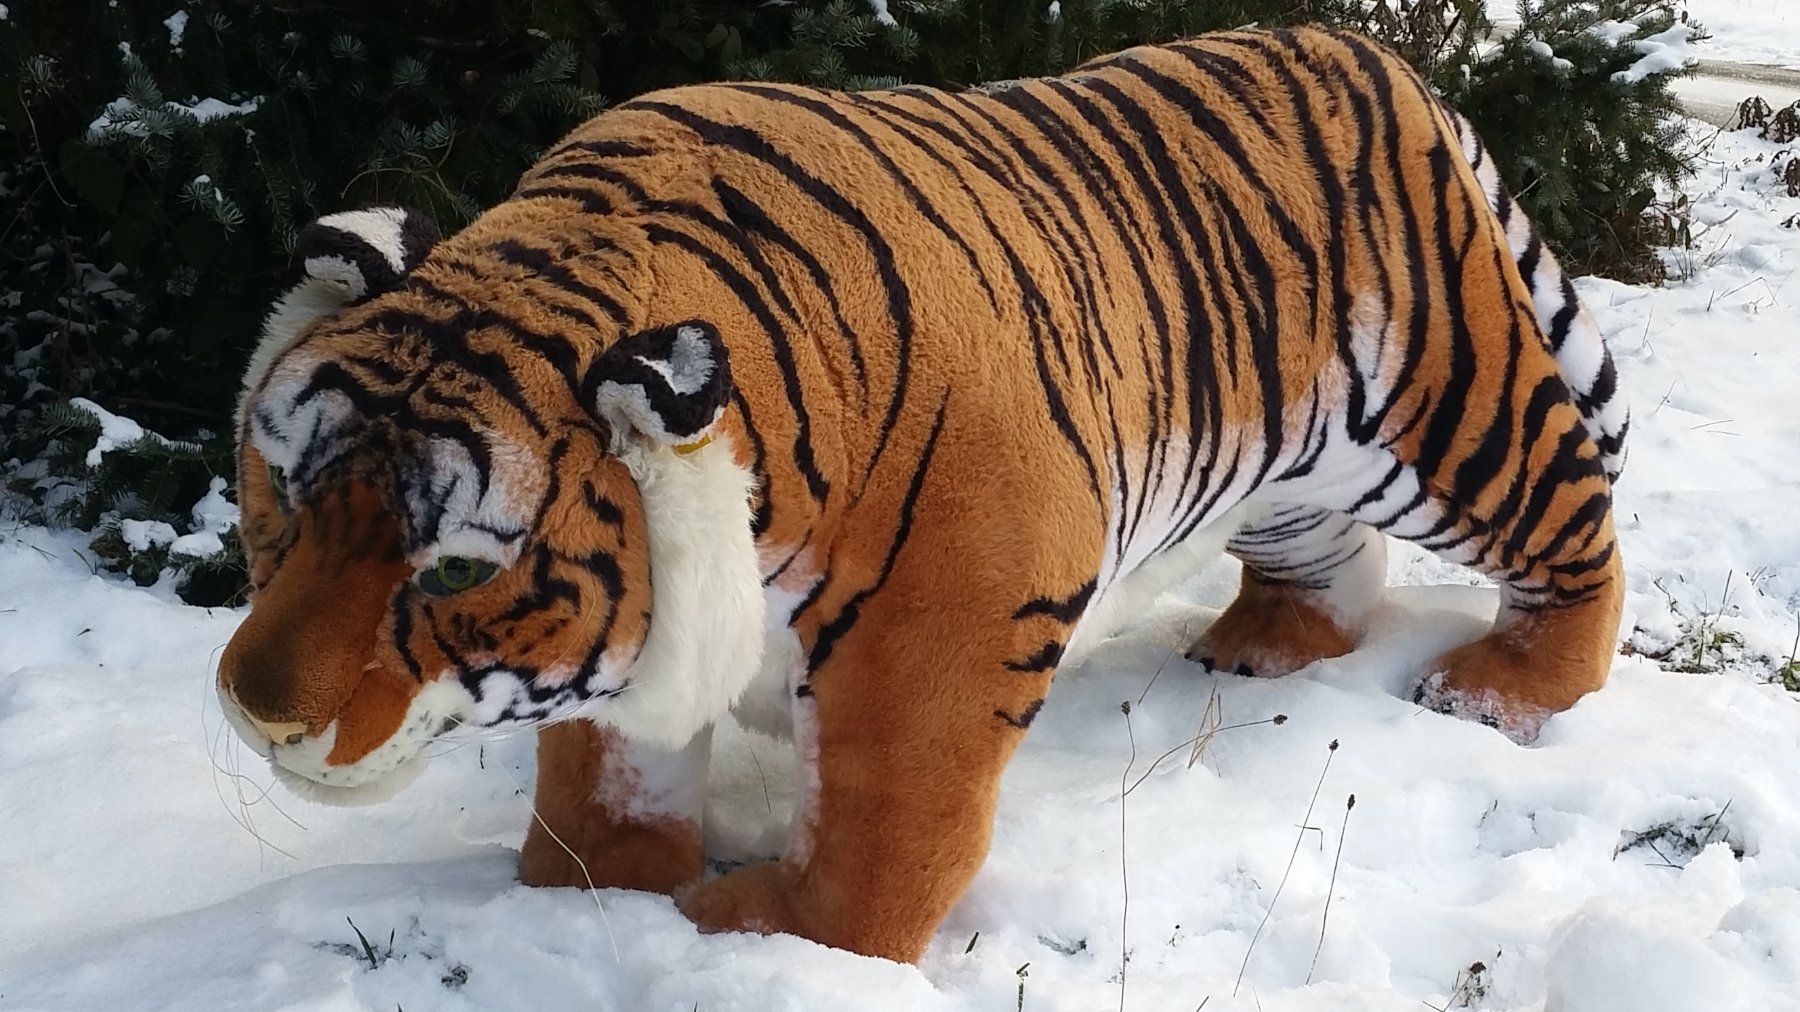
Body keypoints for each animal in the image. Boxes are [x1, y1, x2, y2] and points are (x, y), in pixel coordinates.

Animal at [215, 27, 1628, 963]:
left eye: (455, 568)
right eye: (283, 490)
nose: (255, 710)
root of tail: (1373, 53)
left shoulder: (947, 612)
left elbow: (890, 821)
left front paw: (774, 936)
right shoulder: (651, 636)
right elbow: (611, 768)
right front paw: (588, 893)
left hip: (1454, 417)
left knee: (1573, 531)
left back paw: (1500, 689)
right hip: (1278, 470)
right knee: (1333, 565)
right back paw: (1268, 647)